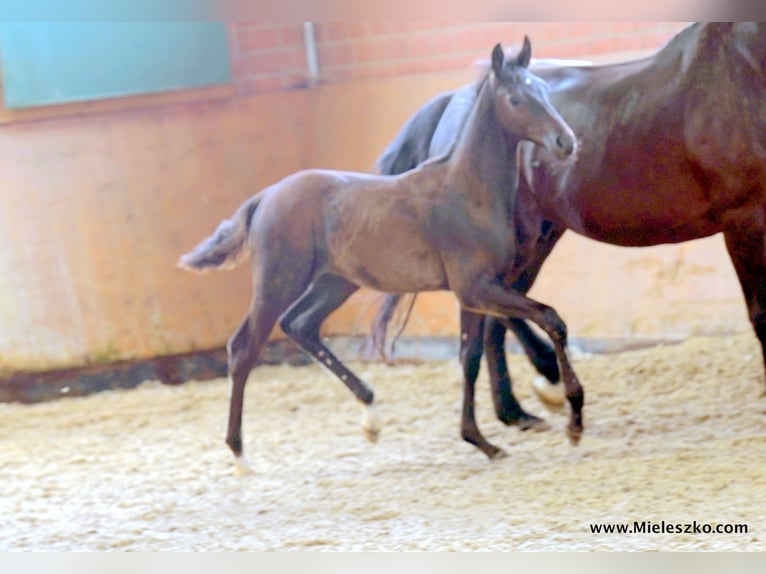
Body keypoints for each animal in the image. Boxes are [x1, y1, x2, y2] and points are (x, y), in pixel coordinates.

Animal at [182, 39, 576, 472]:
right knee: (244, 348)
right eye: (515, 98)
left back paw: (370, 416)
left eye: (544, 88)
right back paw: (240, 455)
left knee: (300, 325)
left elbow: (469, 357)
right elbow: (551, 319)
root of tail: (265, 196)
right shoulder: (477, 289)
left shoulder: (476, 294)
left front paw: (480, 441)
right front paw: (573, 417)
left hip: (336, 282)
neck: (467, 190)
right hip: (278, 281)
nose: (567, 141)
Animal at [368, 21, 766, 428]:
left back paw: (516, 410)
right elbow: (762, 316)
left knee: (500, 312)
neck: (746, 66)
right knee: (493, 305)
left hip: (540, 237)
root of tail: (457, 100)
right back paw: (537, 384)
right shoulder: (744, 220)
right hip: (516, 242)